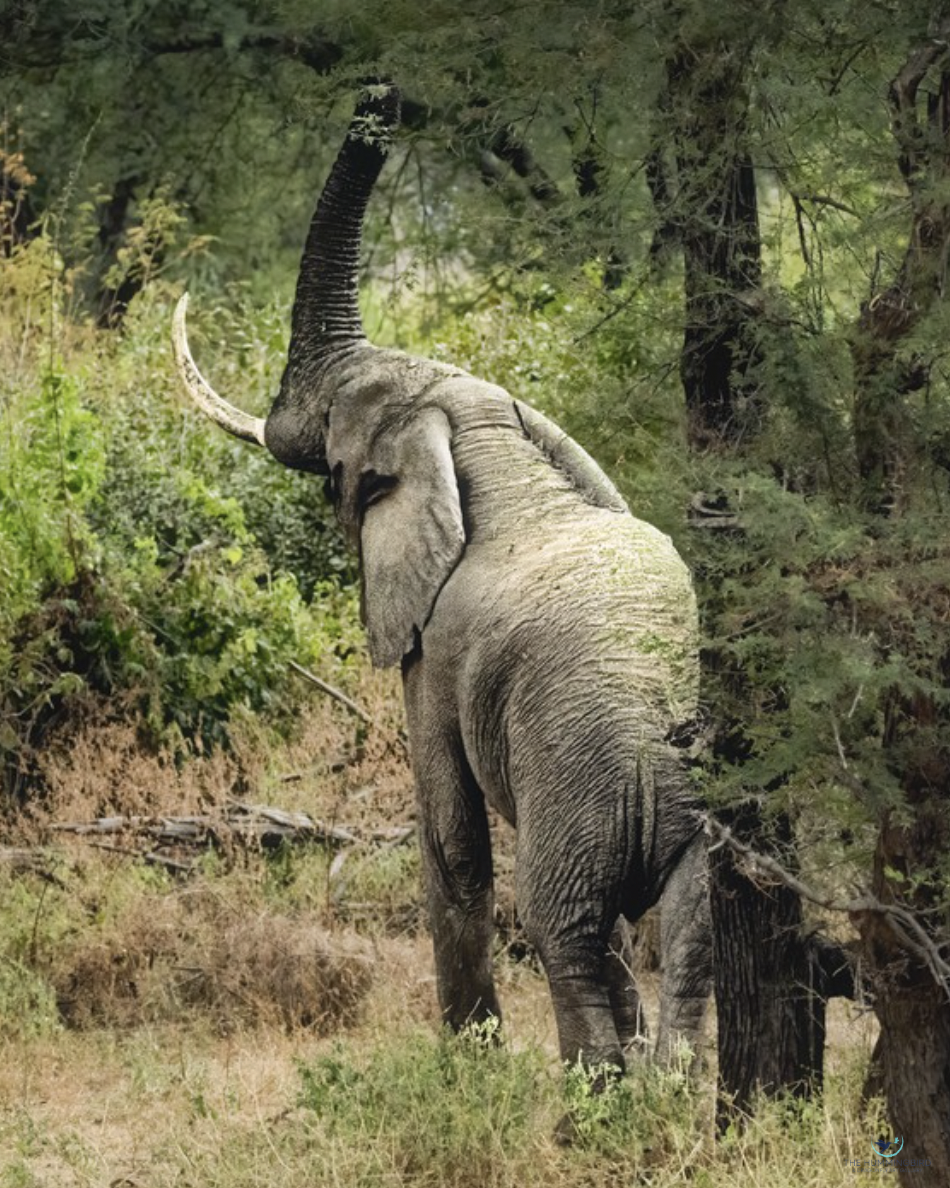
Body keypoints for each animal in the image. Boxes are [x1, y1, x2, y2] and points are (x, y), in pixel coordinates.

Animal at [172, 83, 711, 1078]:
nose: (385, 88)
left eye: (338, 470)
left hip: (580, 787)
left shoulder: (435, 651)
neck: (483, 437)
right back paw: (674, 1096)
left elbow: (452, 841)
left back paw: (599, 1096)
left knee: (559, 922)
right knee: (691, 930)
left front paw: (468, 1067)